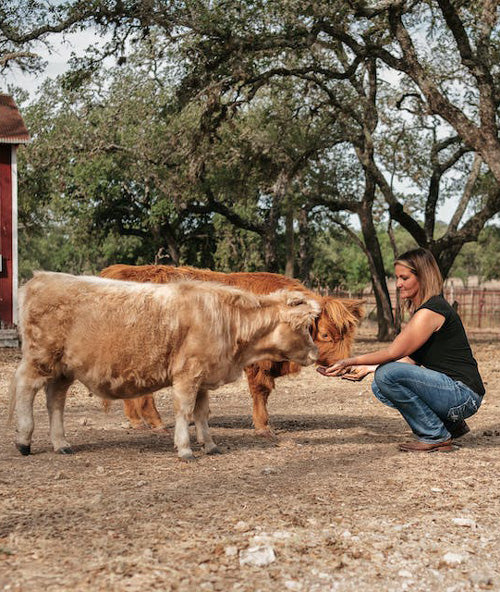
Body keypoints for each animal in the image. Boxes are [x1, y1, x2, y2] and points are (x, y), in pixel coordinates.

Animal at [8, 270, 320, 460]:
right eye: (305, 327)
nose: (316, 353)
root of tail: (41, 279)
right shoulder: (187, 375)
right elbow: (184, 410)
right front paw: (185, 448)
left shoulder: (202, 378)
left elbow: (202, 413)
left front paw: (210, 445)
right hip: (40, 359)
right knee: (25, 389)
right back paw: (24, 440)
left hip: (62, 369)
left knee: (55, 401)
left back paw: (61, 443)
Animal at [100, 264, 364, 434]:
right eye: (325, 334)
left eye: (349, 336)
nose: (342, 366)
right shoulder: (258, 363)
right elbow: (261, 391)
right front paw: (263, 426)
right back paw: (155, 423)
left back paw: (137, 421)